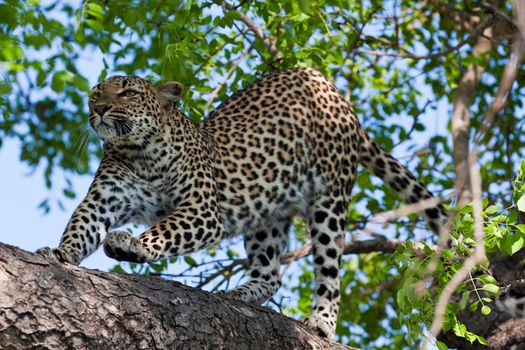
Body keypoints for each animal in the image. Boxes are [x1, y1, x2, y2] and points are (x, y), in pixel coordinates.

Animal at [37, 67, 446, 338]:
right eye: (96, 93)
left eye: (127, 93)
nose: (100, 109)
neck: (138, 153)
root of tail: (334, 92)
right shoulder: (102, 202)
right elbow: (80, 227)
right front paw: (57, 254)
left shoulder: (202, 210)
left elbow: (164, 230)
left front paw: (132, 244)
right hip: (267, 213)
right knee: (270, 274)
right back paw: (238, 294)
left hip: (329, 200)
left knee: (329, 267)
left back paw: (322, 321)